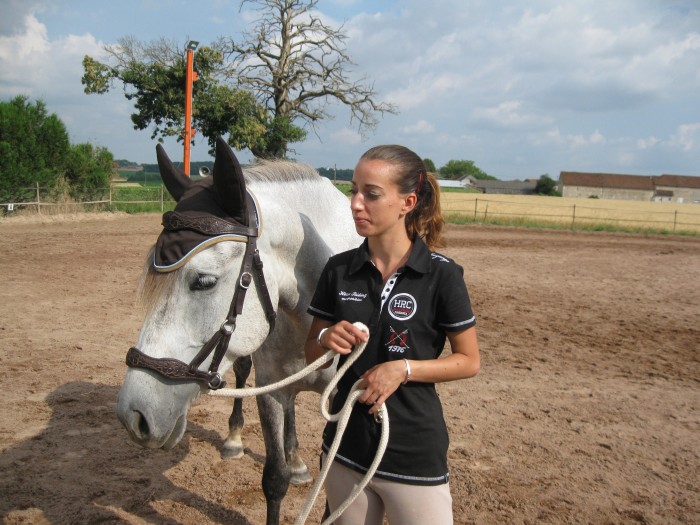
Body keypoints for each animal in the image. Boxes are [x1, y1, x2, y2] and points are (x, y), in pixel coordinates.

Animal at [117, 137, 358, 520]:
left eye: (204, 281)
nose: (133, 416)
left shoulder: (344, 401)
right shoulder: (271, 389)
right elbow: (274, 479)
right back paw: (237, 441)